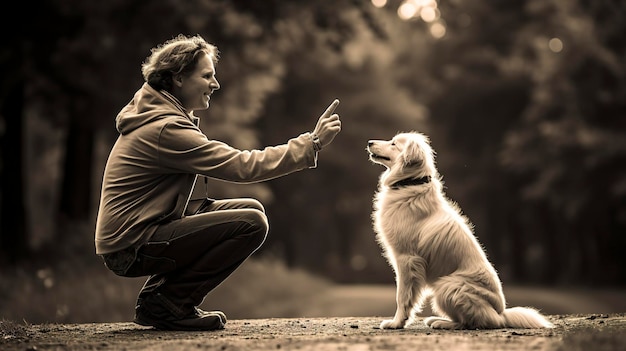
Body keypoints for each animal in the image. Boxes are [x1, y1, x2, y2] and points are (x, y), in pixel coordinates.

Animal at [366, 133, 552, 332]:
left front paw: (396, 323)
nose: (369, 142)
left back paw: (442, 323)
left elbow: (402, 296)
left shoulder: (406, 259)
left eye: (394, 144)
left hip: (448, 286)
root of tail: (501, 313)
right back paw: (437, 320)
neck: (410, 183)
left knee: (474, 322)